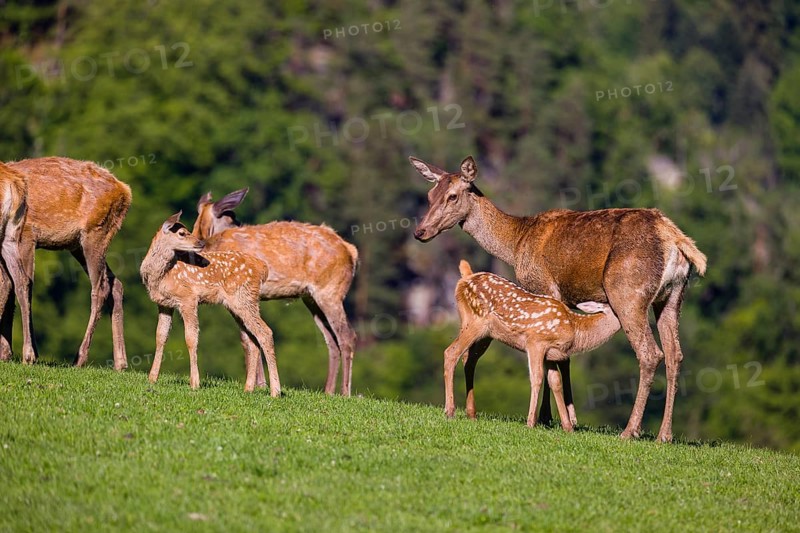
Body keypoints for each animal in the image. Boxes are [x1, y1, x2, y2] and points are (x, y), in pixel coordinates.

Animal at [3, 157, 131, 370]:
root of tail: (125, 191)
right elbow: (9, 285)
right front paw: (8, 352)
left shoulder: (26, 236)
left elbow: (20, 285)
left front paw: (26, 353)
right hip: (78, 245)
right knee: (116, 284)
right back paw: (120, 363)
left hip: (94, 233)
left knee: (101, 288)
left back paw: (79, 358)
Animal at [140, 212, 281, 395]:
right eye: (182, 233)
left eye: (187, 230)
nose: (200, 243)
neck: (162, 275)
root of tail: (262, 267)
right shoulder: (164, 304)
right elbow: (160, 336)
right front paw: (152, 378)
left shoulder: (188, 298)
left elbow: (191, 338)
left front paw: (194, 382)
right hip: (238, 305)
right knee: (252, 339)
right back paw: (248, 388)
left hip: (244, 299)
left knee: (265, 333)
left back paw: (275, 391)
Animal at [182, 188, 358, 396]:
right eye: (233, 217)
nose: (240, 223)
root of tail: (351, 251)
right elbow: (248, 337)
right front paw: (259, 383)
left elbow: (249, 337)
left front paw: (259, 384)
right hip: (311, 297)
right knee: (331, 339)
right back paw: (328, 391)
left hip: (330, 290)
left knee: (347, 335)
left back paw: (345, 392)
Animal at [445, 260, 621, 431]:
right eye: (615, 308)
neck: (574, 329)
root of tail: (467, 276)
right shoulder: (536, 342)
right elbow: (537, 378)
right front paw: (530, 423)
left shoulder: (551, 353)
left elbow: (555, 381)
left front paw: (568, 427)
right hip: (475, 321)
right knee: (451, 353)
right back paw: (450, 411)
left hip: (486, 335)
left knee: (468, 360)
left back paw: (471, 414)